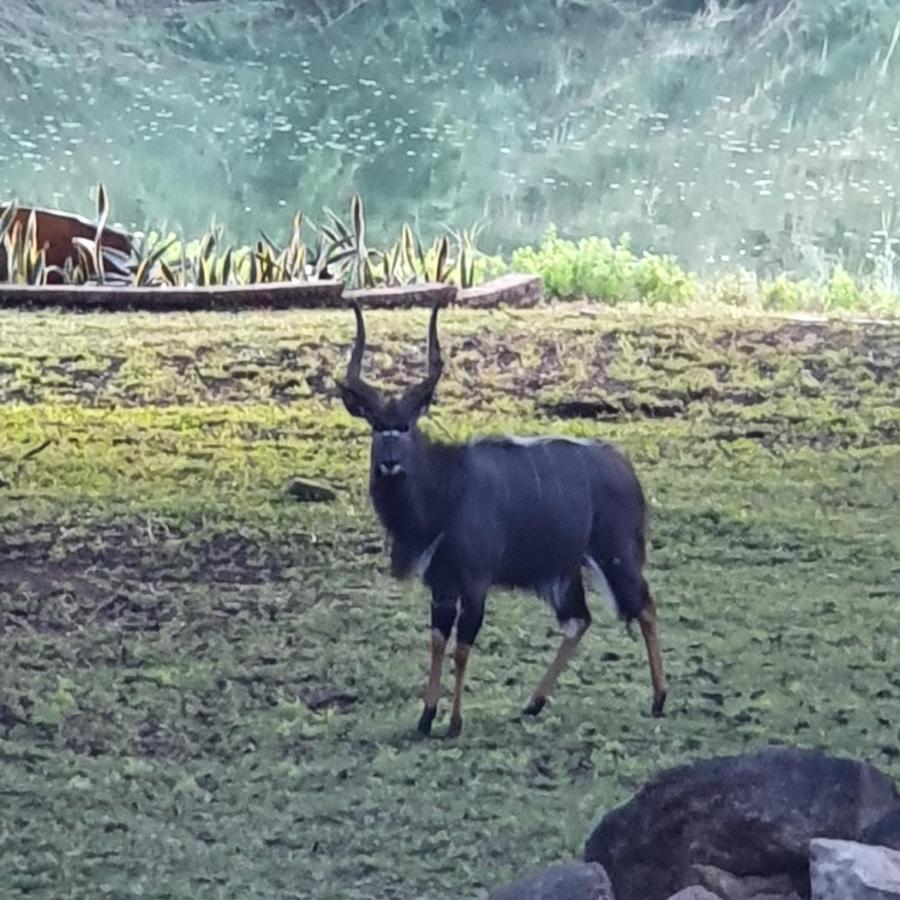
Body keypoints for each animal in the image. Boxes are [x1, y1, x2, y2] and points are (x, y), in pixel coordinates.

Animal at [338, 302, 668, 740]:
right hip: (566, 571)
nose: (390, 463)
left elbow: (463, 646)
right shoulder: (441, 585)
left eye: (406, 425)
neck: (448, 488)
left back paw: (659, 699)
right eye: (376, 424)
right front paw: (426, 718)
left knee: (644, 606)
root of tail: (625, 468)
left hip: (615, 554)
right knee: (579, 620)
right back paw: (533, 703)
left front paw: (455, 723)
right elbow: (438, 640)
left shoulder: (476, 581)